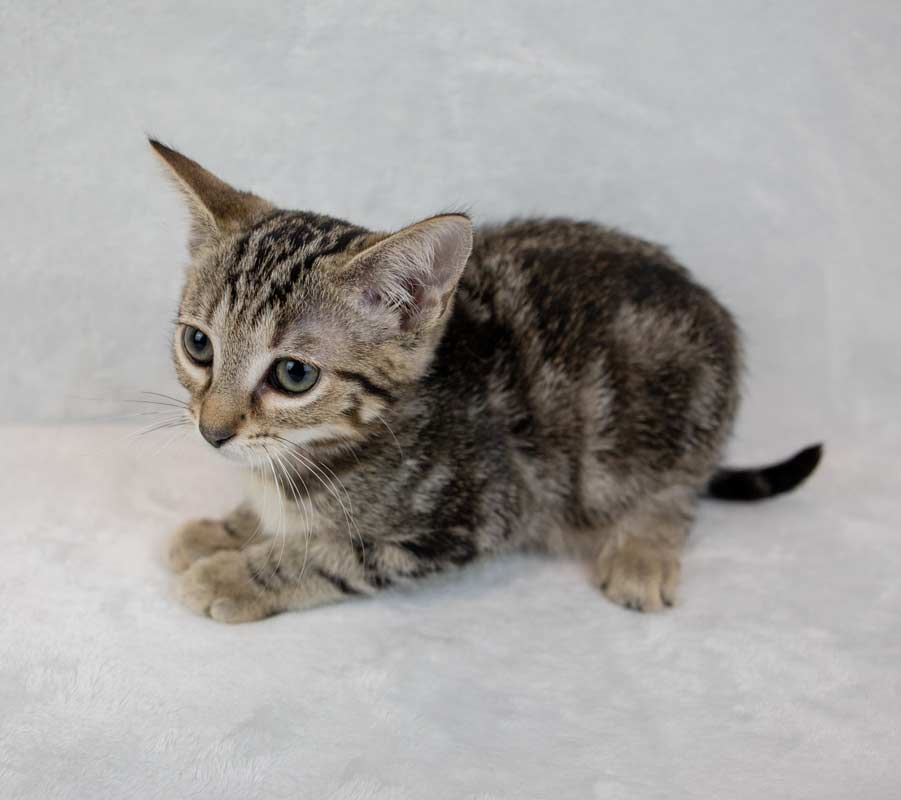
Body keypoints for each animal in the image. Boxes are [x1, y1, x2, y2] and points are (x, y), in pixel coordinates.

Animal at [150, 139, 822, 623]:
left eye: (294, 375)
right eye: (199, 345)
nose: (212, 432)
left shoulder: (478, 513)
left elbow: (337, 553)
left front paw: (240, 572)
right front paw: (229, 528)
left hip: (657, 431)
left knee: (676, 494)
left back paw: (642, 554)